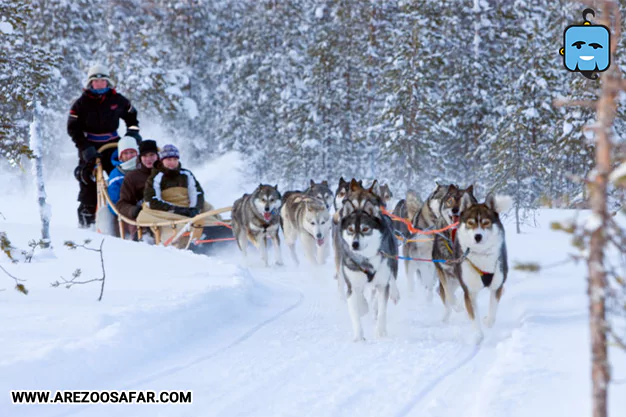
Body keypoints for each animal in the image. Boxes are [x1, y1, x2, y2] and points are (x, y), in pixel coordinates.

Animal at [338, 200, 398, 340]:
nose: (354, 244)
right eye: (350, 229)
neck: (366, 259)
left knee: (390, 280)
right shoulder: (352, 284)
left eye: (365, 229)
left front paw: (380, 332)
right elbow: (356, 311)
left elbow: (382, 310)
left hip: (392, 262)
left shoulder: (382, 284)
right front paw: (359, 337)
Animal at [448, 193, 508, 342]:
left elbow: (492, 314)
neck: (481, 256)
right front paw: (478, 335)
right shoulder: (470, 291)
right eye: (470, 223)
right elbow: (474, 317)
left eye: (486, 222)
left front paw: (487, 321)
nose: (478, 236)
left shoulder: (496, 287)